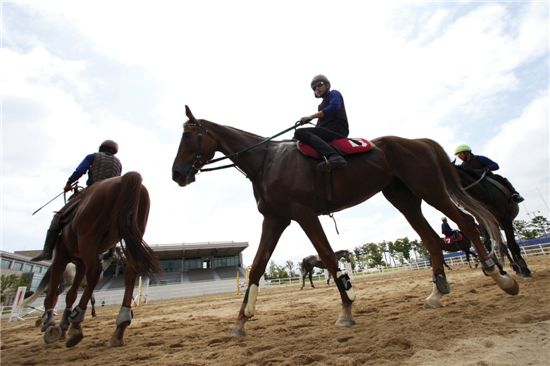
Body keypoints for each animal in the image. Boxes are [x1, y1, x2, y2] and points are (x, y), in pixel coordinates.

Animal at [38, 173, 160, 348]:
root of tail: (124, 179)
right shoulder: (80, 262)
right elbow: (71, 295)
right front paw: (62, 325)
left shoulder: (61, 257)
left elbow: (53, 293)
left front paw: (49, 323)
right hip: (132, 233)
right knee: (129, 272)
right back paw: (119, 328)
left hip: (87, 240)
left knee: (94, 272)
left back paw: (76, 323)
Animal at [172, 104, 520, 336]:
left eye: (188, 137)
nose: (176, 174)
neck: (267, 160)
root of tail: (418, 142)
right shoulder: (275, 220)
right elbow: (257, 267)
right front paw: (241, 320)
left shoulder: (303, 215)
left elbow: (328, 257)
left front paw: (347, 307)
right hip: (404, 200)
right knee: (432, 238)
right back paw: (437, 293)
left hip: (430, 190)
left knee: (467, 223)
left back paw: (501, 277)